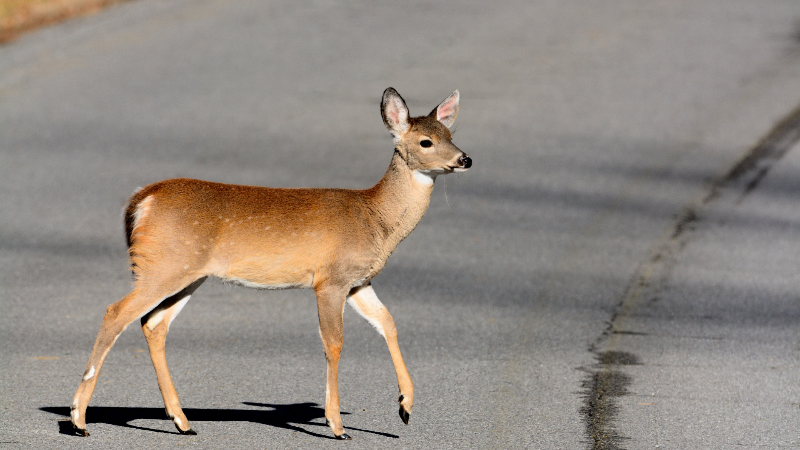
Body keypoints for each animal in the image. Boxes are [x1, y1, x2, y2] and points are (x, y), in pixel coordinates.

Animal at [69, 87, 471, 440]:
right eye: (426, 141)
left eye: (451, 134)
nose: (465, 159)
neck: (375, 219)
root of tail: (140, 201)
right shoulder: (330, 279)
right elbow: (334, 343)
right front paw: (337, 426)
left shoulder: (359, 281)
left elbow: (388, 323)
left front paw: (405, 406)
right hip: (163, 265)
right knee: (116, 312)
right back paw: (79, 419)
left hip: (187, 273)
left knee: (153, 323)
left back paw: (182, 421)